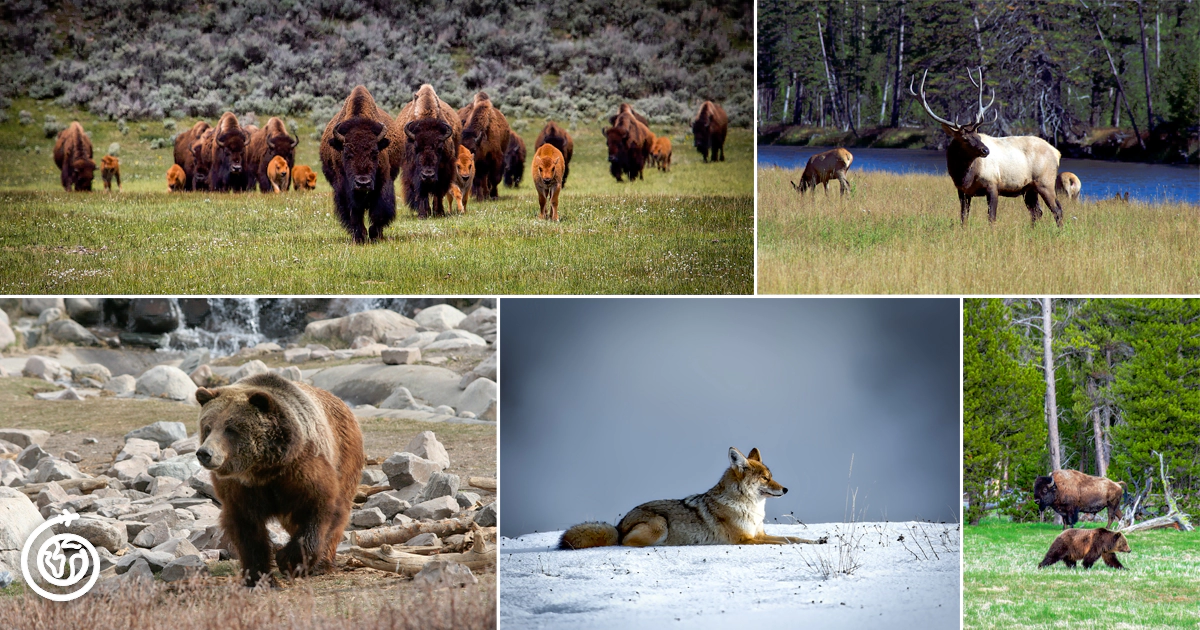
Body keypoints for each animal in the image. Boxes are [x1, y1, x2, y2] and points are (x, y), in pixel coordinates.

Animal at [194, 374, 364, 585]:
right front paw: (259, 577)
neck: (264, 470)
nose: (204, 453)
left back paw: (323, 563)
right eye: (208, 427)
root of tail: (341, 403)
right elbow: (247, 529)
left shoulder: (302, 469)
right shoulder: (240, 488)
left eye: (230, 428)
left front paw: (289, 560)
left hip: (344, 454)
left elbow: (319, 508)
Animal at [319, 83, 403, 241]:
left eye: (375, 152)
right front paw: (360, 236)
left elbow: (379, 210)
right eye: (347, 154)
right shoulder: (344, 187)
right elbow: (354, 212)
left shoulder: (383, 181)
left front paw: (375, 234)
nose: (363, 183)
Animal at [398, 83, 463, 217]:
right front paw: (423, 213)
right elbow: (421, 192)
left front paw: (439, 212)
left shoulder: (444, 170)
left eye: (439, 148)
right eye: (416, 147)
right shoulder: (413, 172)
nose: (428, 175)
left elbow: (438, 191)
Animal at [902, 69, 1065, 225]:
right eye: (965, 139)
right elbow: (963, 217)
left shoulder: (992, 185)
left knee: (1057, 210)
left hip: (1045, 182)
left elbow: (991, 217)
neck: (964, 176)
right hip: (1029, 188)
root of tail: (1057, 152)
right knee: (1037, 212)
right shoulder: (962, 191)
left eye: (978, 136)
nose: (986, 150)